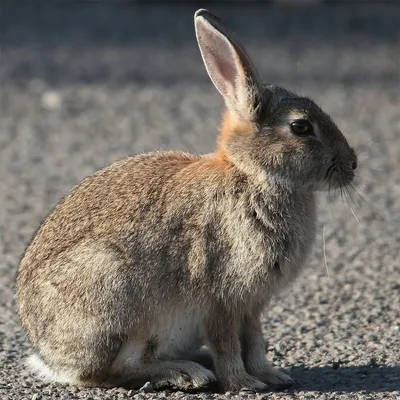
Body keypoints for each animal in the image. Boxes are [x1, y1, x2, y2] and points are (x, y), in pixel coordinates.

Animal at [17, 8, 358, 394]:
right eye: (301, 127)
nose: (352, 165)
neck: (251, 174)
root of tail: (51, 360)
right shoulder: (221, 298)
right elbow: (228, 343)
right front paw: (243, 383)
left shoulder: (252, 305)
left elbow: (254, 340)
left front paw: (272, 375)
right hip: (114, 298)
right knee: (109, 372)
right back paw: (185, 373)